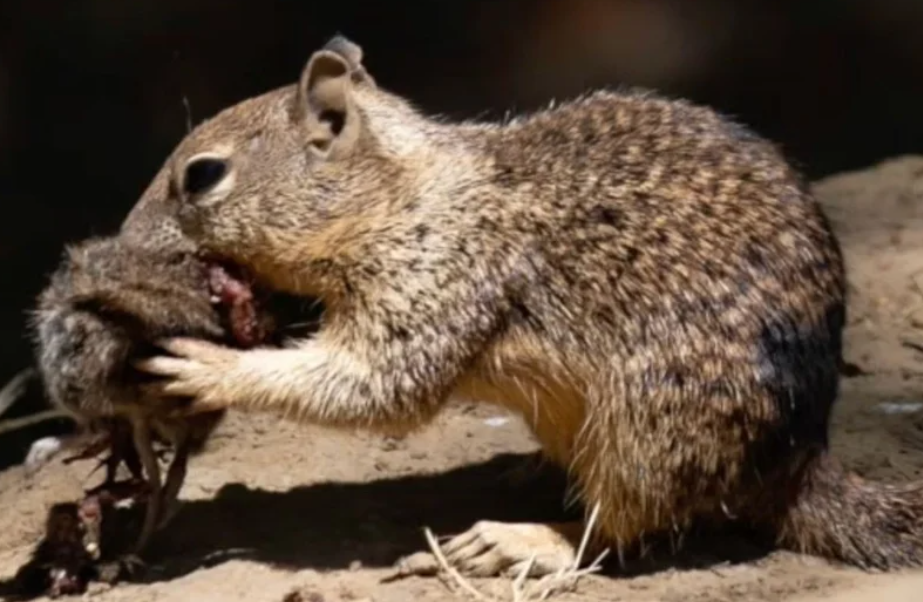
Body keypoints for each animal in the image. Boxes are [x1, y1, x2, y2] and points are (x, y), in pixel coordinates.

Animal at [126, 35, 923, 577]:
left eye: (202, 176)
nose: (127, 240)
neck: (399, 196)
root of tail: (799, 462)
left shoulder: (436, 279)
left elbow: (375, 385)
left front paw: (209, 367)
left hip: (648, 428)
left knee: (621, 529)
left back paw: (522, 540)